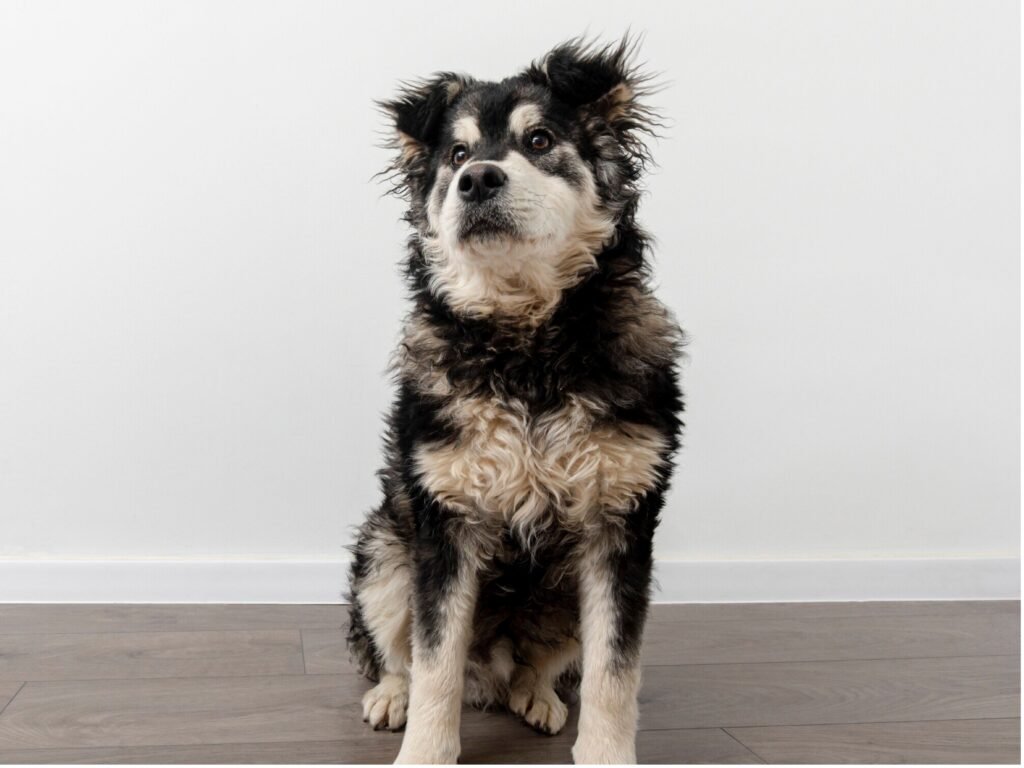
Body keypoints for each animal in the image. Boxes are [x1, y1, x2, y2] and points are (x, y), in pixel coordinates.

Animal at [348, 37, 684, 765]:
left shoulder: (621, 528)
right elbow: (435, 659)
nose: (478, 180)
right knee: (397, 653)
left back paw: (536, 695)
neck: (526, 347)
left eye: (540, 139)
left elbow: (616, 670)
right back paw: (392, 695)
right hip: (385, 554)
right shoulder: (444, 523)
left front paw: (607, 754)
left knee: (537, 664)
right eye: (456, 154)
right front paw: (424, 751)